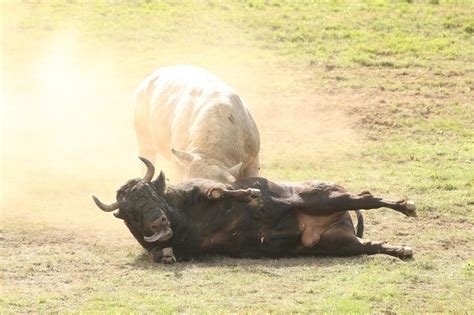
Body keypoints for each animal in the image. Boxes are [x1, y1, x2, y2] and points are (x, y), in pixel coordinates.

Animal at [91, 158, 414, 264]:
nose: (158, 223)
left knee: (365, 198)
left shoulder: (205, 189)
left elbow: (221, 191)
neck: (183, 220)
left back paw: (407, 206)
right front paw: (165, 253)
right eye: (130, 212)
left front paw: (253, 197)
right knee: (369, 245)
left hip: (326, 200)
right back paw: (402, 250)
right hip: (340, 244)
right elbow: (160, 254)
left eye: (149, 193)